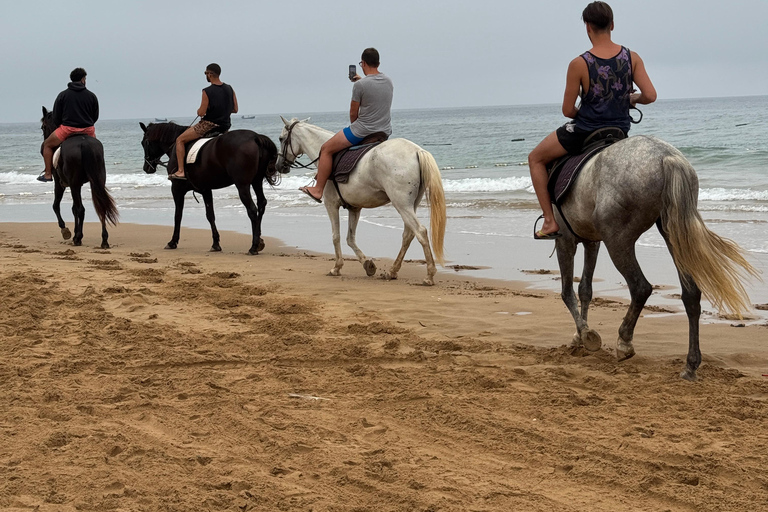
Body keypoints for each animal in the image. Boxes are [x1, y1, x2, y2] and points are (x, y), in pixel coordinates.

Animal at [41, 107, 119, 249]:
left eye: (43, 127)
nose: (43, 145)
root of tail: (84, 144)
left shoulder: (60, 184)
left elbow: (56, 206)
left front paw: (66, 231)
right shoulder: (78, 185)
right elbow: (73, 209)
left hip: (73, 184)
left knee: (81, 209)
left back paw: (78, 238)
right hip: (95, 182)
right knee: (100, 207)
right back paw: (104, 240)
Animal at [139, 122, 280, 254]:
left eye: (143, 143)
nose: (146, 167)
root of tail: (255, 137)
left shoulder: (177, 189)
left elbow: (178, 215)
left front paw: (172, 241)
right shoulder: (205, 190)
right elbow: (210, 215)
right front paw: (215, 244)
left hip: (242, 185)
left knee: (252, 209)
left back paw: (253, 246)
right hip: (257, 181)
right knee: (261, 204)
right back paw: (259, 241)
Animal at [276, 117, 446, 285]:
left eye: (281, 139)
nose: (279, 166)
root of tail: (417, 151)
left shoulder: (331, 204)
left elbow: (336, 236)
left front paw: (337, 268)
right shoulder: (355, 208)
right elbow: (350, 238)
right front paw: (367, 264)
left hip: (401, 204)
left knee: (420, 232)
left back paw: (429, 275)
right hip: (411, 204)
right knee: (408, 235)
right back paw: (392, 271)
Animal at [552, 134, 759, 380]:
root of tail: (666, 157)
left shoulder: (565, 240)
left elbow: (567, 292)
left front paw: (584, 334)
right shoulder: (591, 241)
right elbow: (585, 289)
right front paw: (580, 335)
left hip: (617, 240)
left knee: (641, 287)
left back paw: (625, 342)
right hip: (674, 235)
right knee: (690, 295)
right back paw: (690, 365)